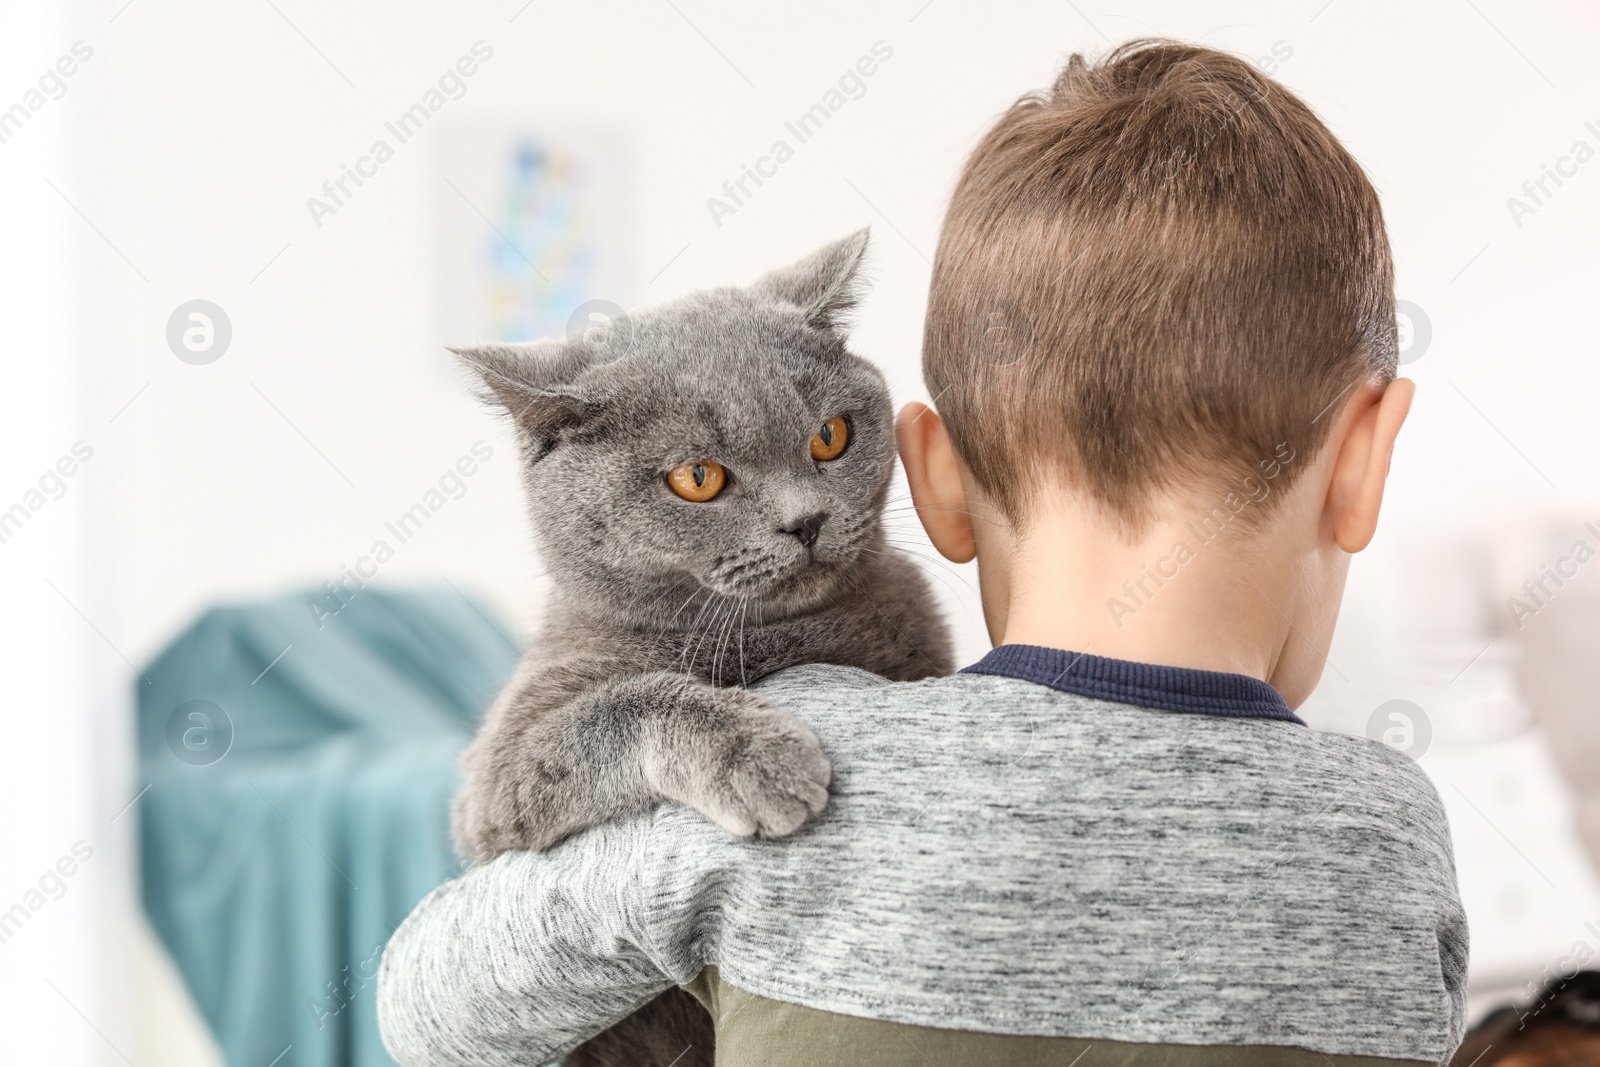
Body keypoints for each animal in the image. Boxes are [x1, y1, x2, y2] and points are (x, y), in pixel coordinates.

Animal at [448, 233, 947, 1067]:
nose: (807, 520)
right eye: (698, 477)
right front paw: (760, 756)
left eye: (830, 435)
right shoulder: (495, 782)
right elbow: (627, 700)